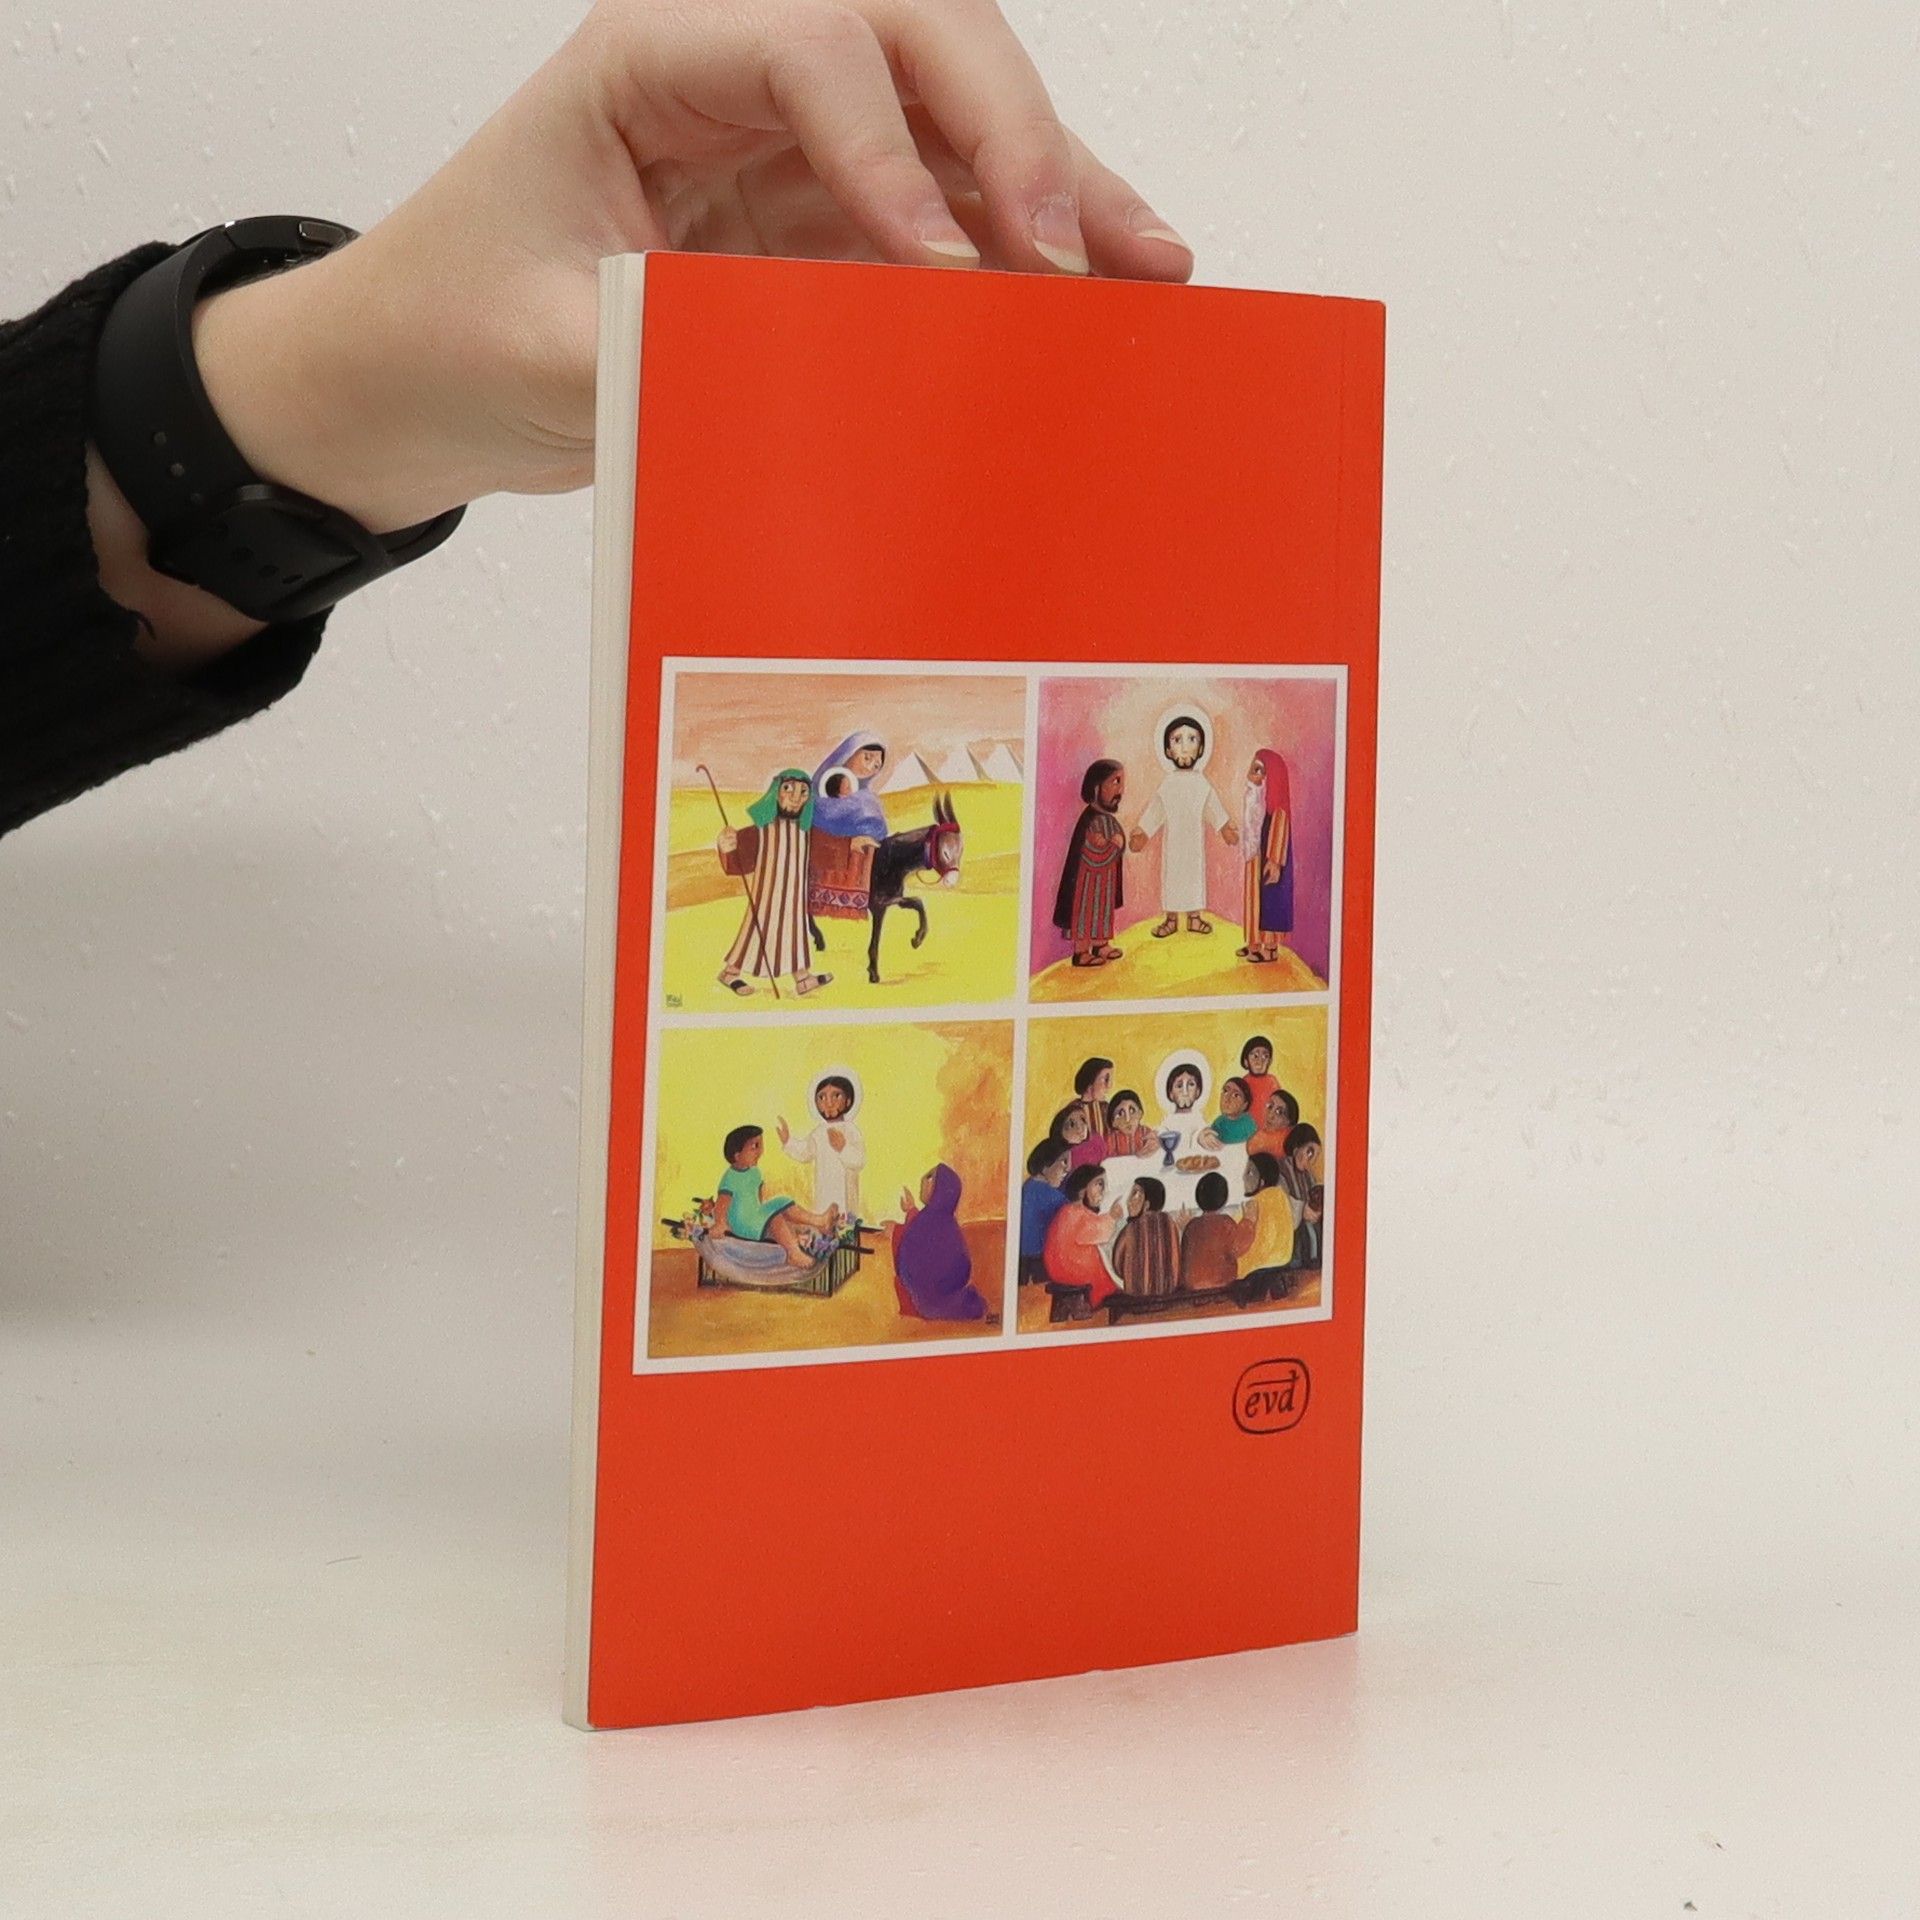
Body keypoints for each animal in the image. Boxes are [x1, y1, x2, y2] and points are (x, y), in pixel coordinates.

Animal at [810, 792, 964, 984]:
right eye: (945, 852)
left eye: (961, 851)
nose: (952, 880)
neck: (891, 859)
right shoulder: (878, 905)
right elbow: (875, 942)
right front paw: (873, 973)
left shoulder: (893, 899)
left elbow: (918, 902)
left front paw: (917, 939)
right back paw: (817, 938)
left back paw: (818, 940)